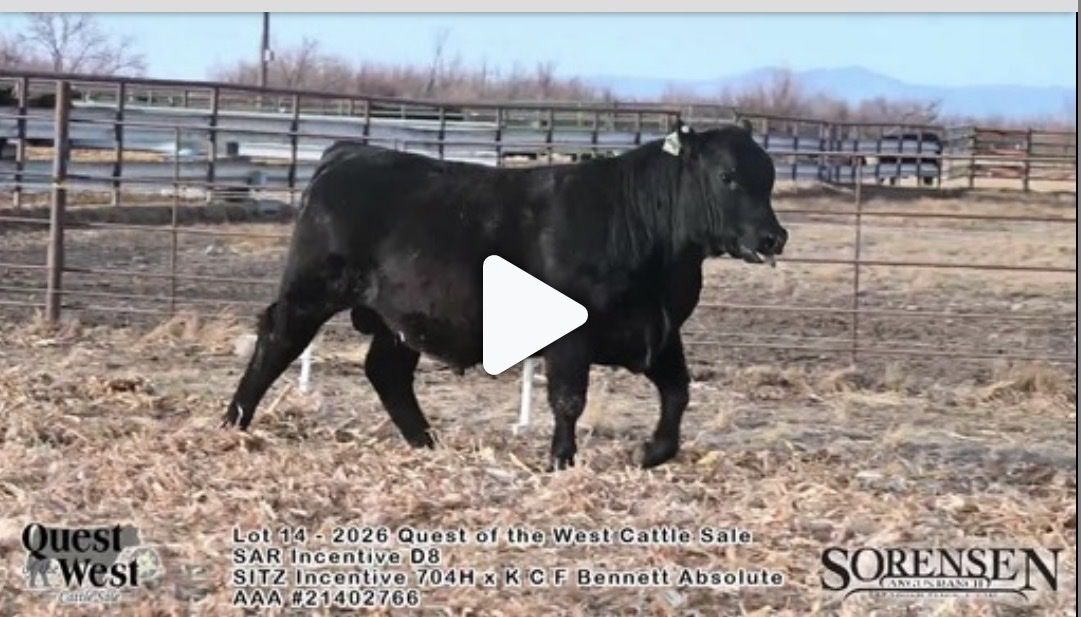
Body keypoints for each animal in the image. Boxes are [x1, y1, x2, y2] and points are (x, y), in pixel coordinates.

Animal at [223, 121, 787, 470]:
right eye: (727, 176)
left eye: (769, 177)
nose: (772, 237)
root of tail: (349, 152)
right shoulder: (573, 339)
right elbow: (569, 400)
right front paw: (562, 459)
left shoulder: (662, 333)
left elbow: (677, 393)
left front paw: (653, 452)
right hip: (311, 290)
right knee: (277, 340)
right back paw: (235, 422)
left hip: (397, 317)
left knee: (387, 372)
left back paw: (426, 442)